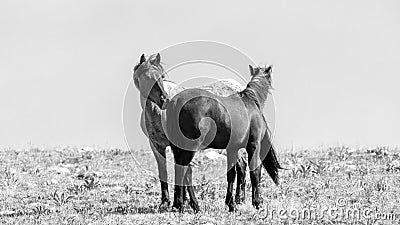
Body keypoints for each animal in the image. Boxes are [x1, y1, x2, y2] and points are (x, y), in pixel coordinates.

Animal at [163, 64, 282, 211]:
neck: (250, 102)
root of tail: (176, 101)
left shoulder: (232, 148)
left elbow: (232, 174)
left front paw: (231, 204)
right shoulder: (253, 145)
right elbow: (255, 172)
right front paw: (257, 203)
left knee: (183, 170)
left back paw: (182, 204)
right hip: (191, 147)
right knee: (185, 170)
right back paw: (188, 205)